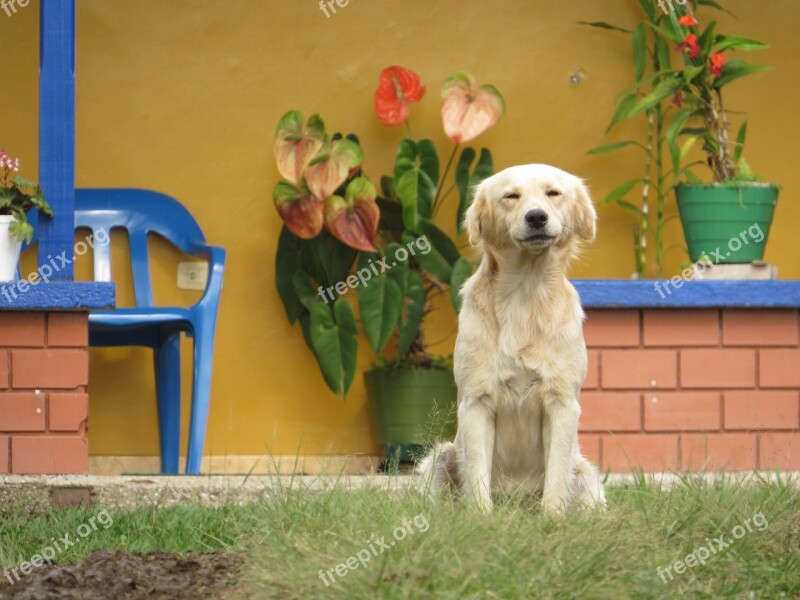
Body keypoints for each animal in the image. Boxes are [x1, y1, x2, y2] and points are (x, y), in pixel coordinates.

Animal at [422, 164, 604, 510]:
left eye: (553, 193)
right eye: (511, 196)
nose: (536, 217)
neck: (526, 292)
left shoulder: (562, 403)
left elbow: (555, 478)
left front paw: (552, 516)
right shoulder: (476, 402)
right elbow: (478, 476)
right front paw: (482, 516)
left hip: (586, 474)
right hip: (441, 457)